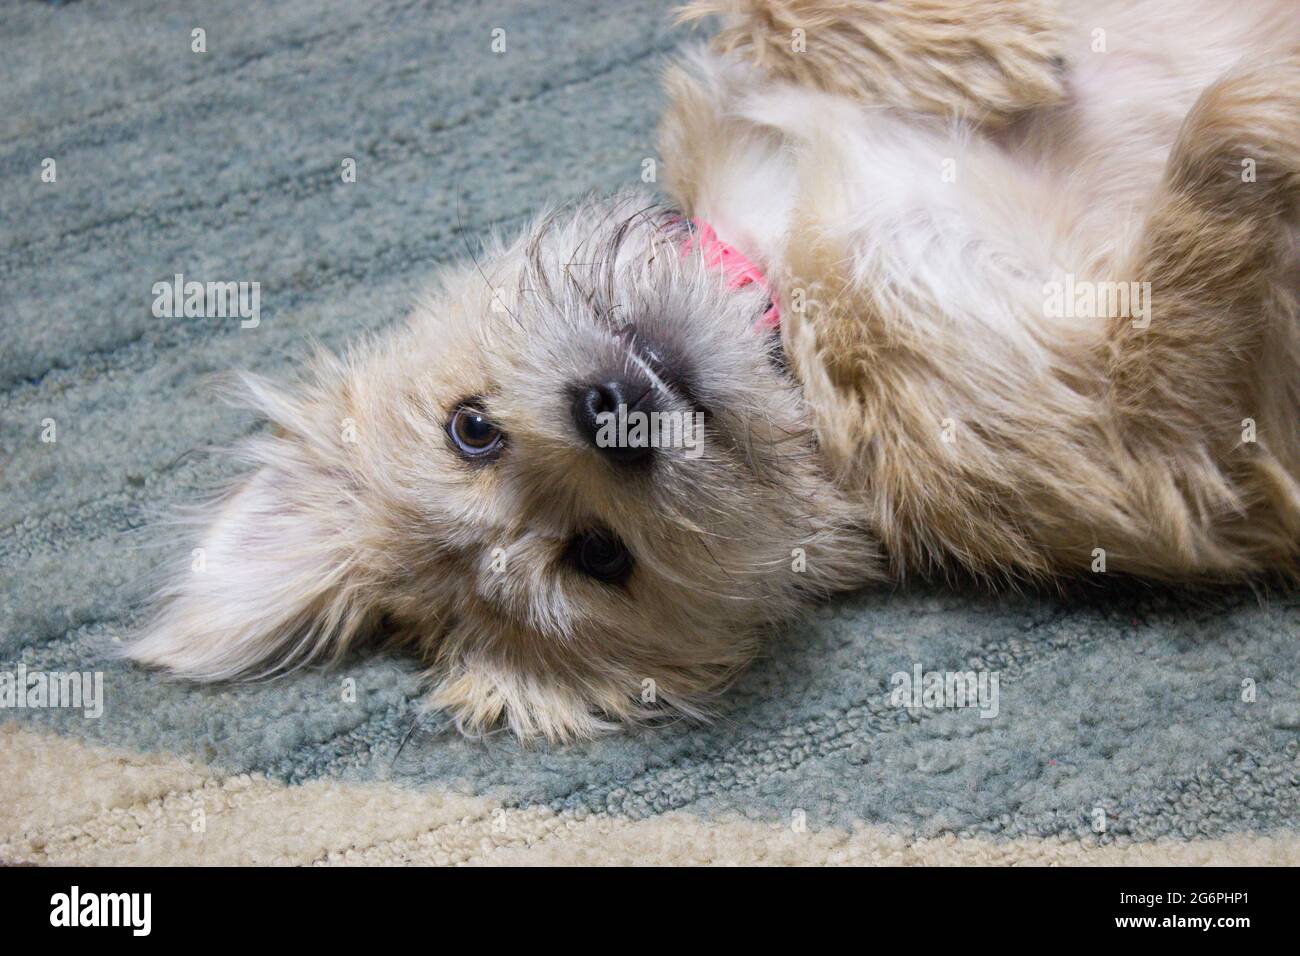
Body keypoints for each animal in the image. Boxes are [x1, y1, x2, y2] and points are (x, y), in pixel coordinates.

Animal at [129, 1, 1300, 738]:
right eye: (598, 558)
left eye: (470, 428)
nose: (609, 412)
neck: (785, 303)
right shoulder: (1148, 442)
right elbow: (1201, 216)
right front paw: (1260, 107)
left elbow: (768, 10)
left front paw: (981, 45)